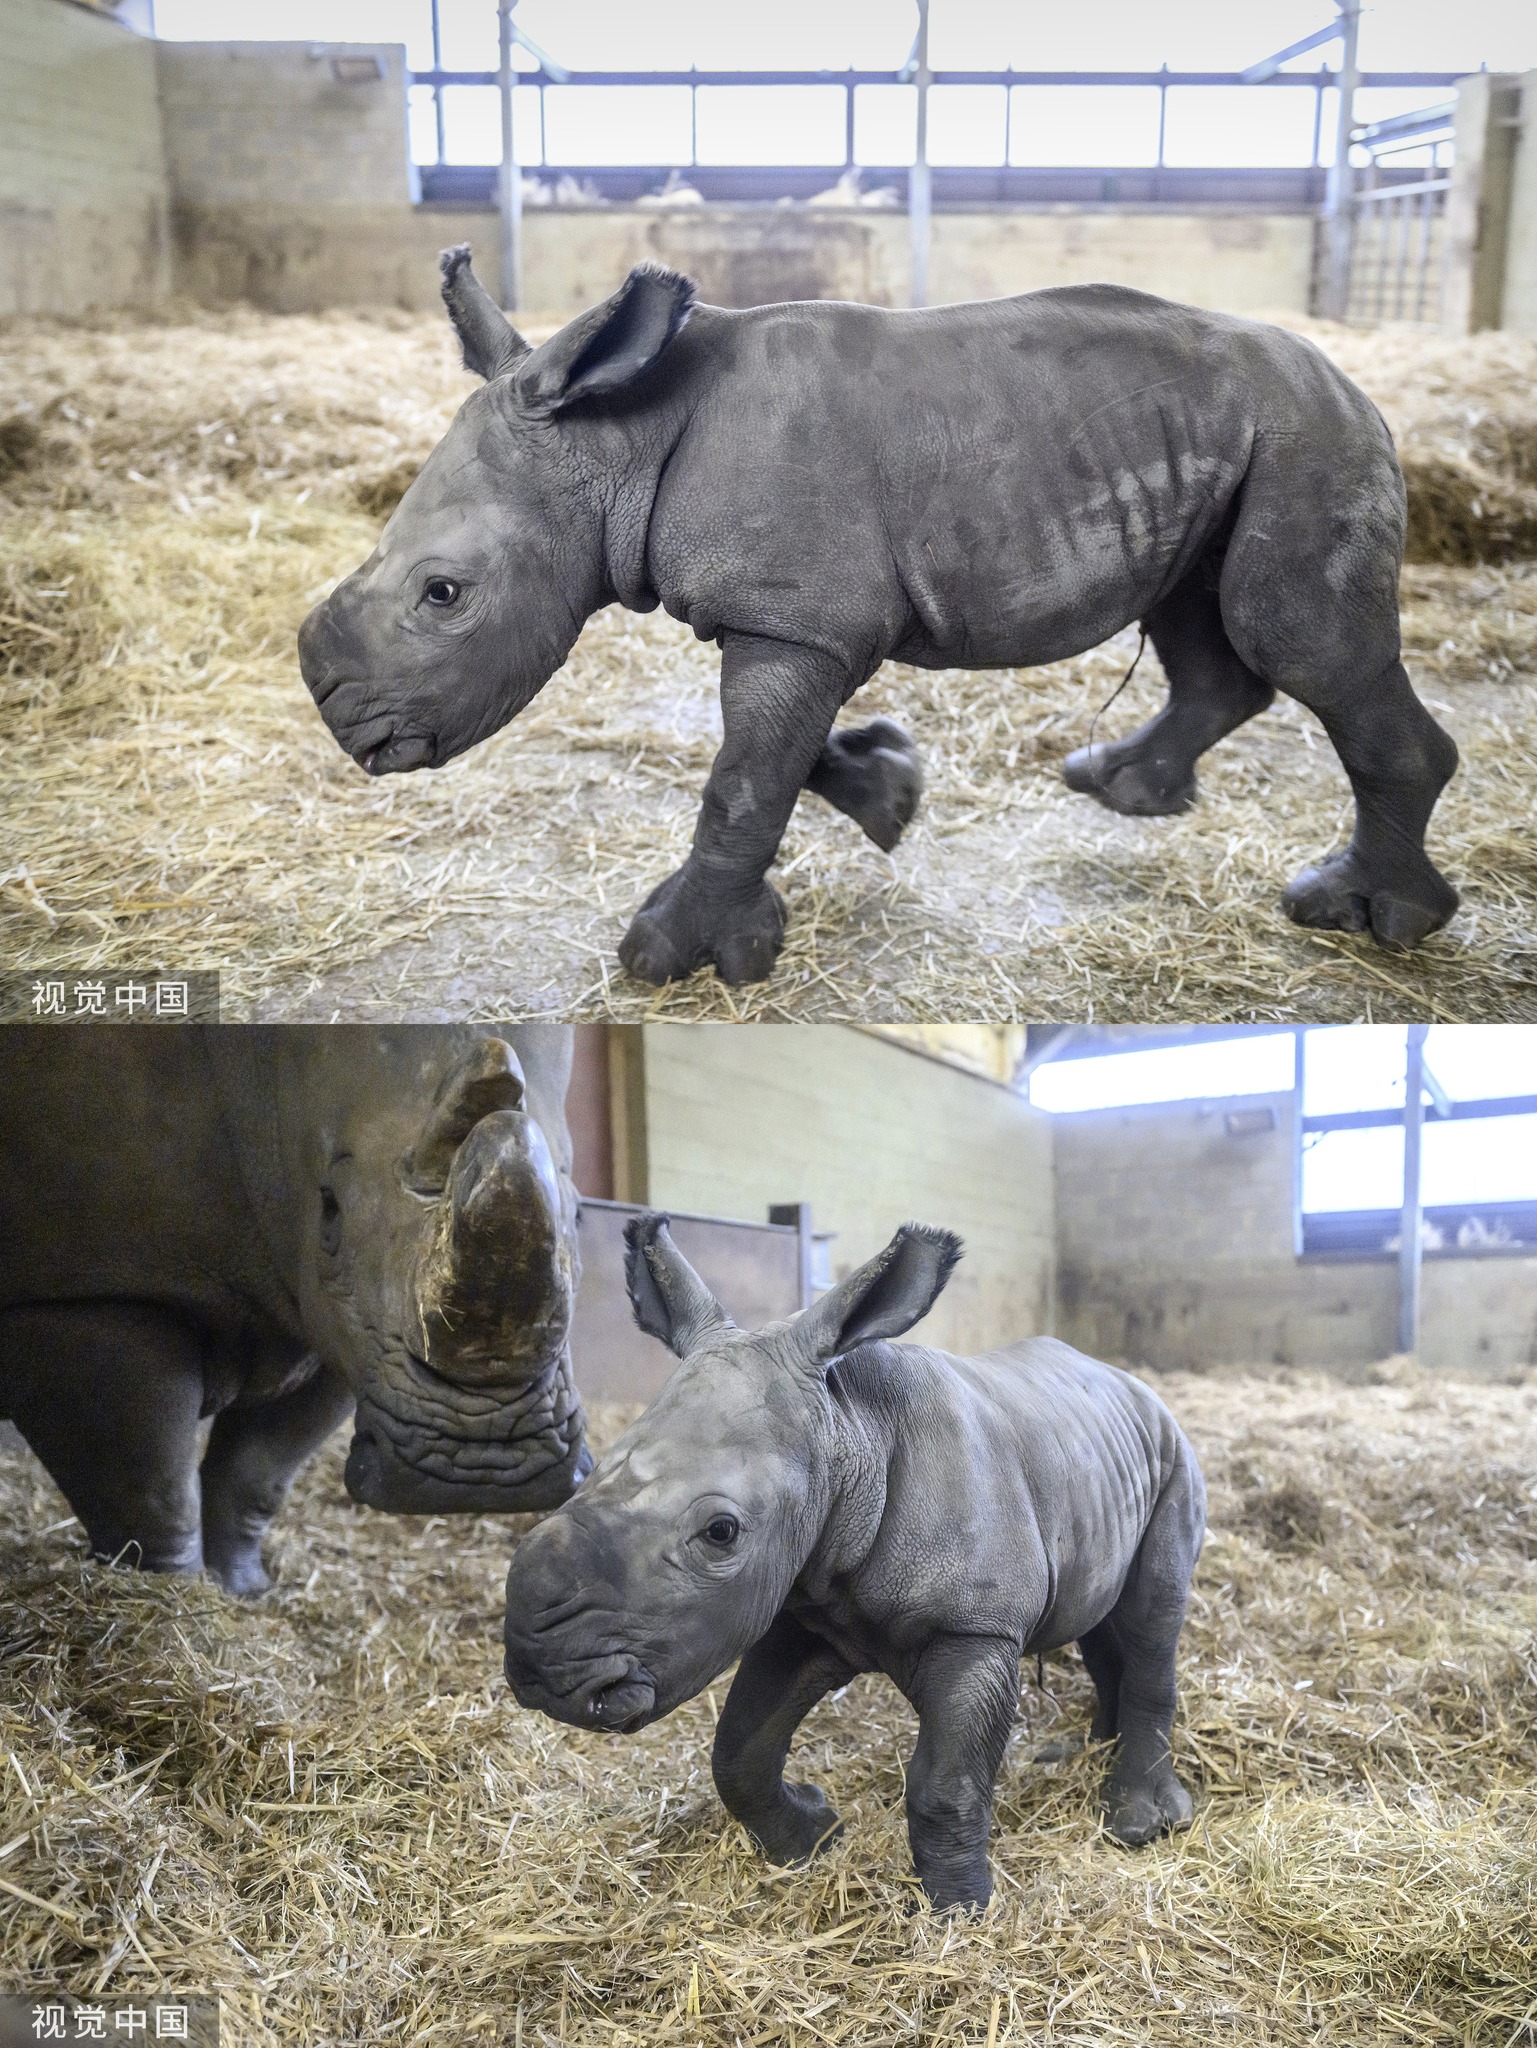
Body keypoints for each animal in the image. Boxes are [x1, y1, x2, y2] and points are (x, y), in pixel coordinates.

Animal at [0, 1026, 589, 1595]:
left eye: (581, 1217)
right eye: (329, 1210)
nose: (482, 1469)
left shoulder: (337, 1327)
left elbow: (258, 1472)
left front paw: (244, 1592)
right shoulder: (89, 1290)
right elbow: (150, 1491)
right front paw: (171, 1597)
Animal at [298, 250, 1459, 988]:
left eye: (444, 595)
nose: (346, 726)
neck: (618, 436)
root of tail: (1356, 386)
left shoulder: (796, 620)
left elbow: (740, 779)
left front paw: (672, 958)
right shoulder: (793, 621)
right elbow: (766, 757)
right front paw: (890, 794)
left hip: (1307, 439)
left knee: (1294, 639)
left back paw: (1361, 916)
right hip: (1238, 441)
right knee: (1197, 619)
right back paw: (1119, 788)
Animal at [503, 1215, 1206, 1911]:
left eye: (721, 1533)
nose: (539, 1670)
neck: (850, 1433)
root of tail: (1134, 1383)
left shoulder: (976, 1625)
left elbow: (944, 1785)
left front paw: (962, 1914)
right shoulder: (807, 1608)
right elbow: (739, 1750)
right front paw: (813, 1837)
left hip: (1175, 1453)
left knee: (1152, 1617)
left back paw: (1138, 1824)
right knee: (1100, 1620)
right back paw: (1083, 1754)